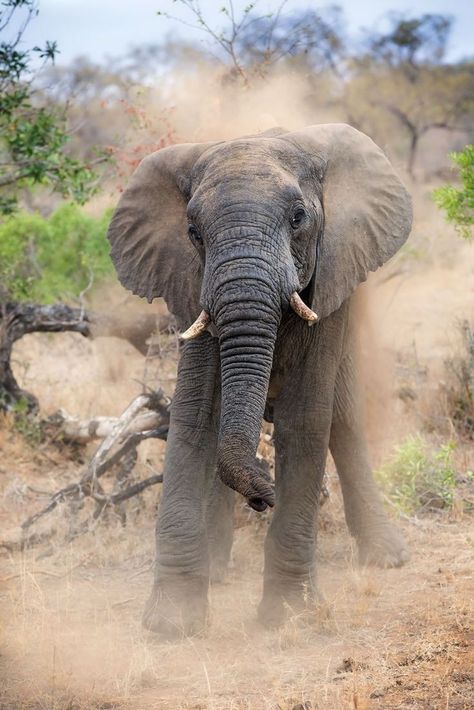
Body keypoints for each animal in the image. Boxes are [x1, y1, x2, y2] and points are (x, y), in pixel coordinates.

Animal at [106, 124, 412, 640]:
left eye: (298, 218)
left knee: (344, 421)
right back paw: (217, 570)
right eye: (193, 233)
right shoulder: (191, 287)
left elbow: (306, 420)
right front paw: (172, 624)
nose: (261, 495)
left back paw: (388, 559)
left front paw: (291, 618)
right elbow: (194, 418)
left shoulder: (329, 283)